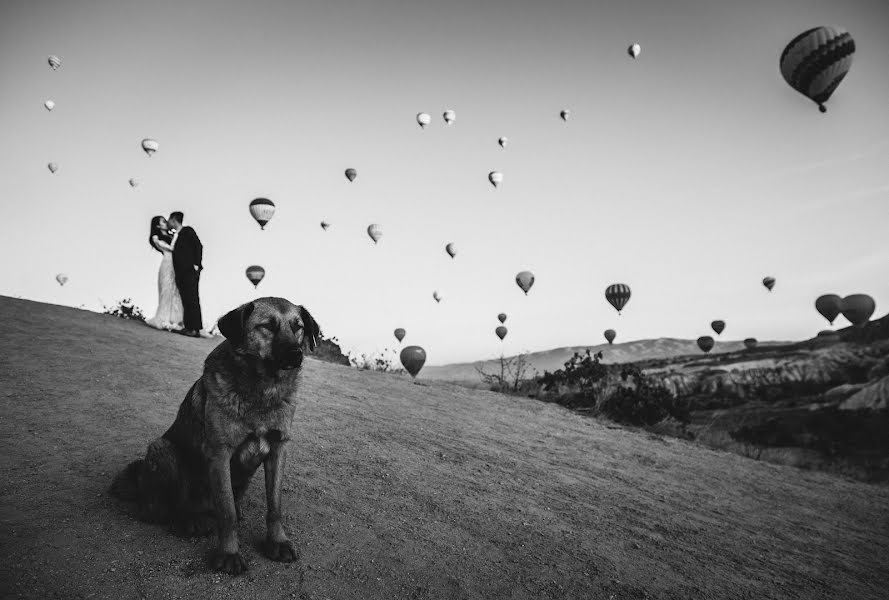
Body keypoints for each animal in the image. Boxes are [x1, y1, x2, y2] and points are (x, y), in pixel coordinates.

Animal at [110, 298, 320, 576]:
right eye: (267, 326)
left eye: (298, 328)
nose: (297, 354)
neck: (263, 389)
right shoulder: (221, 454)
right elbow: (227, 513)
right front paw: (229, 553)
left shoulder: (278, 450)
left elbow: (275, 506)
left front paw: (277, 541)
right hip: (162, 448)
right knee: (161, 510)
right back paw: (188, 520)